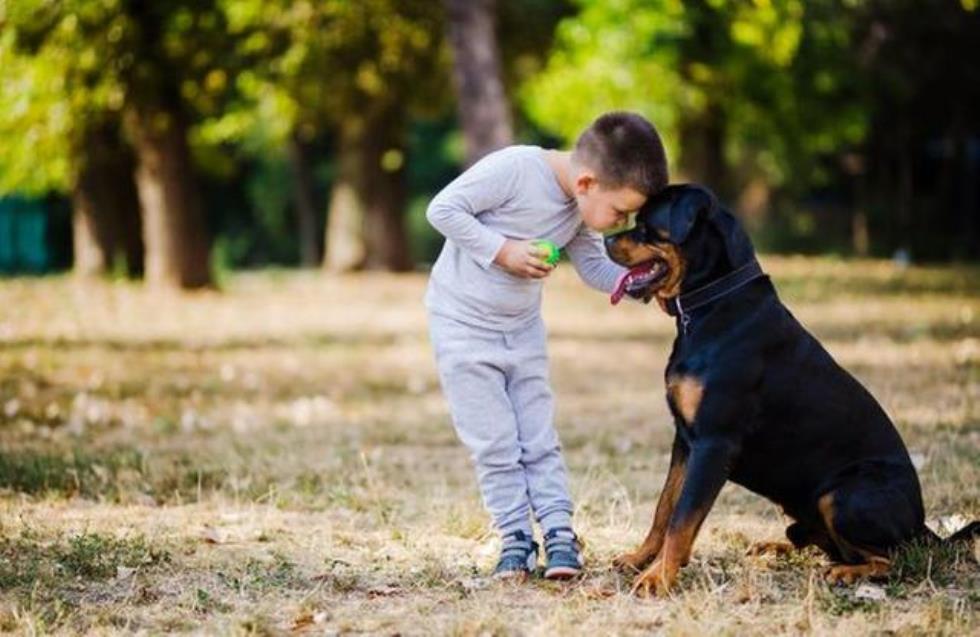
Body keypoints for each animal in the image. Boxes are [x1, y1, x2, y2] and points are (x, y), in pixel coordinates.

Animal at [600, 184, 976, 596]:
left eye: (646, 226)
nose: (606, 240)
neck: (711, 306)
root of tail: (922, 525)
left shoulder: (714, 443)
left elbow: (682, 518)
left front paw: (658, 578)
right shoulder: (685, 440)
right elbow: (664, 507)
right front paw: (639, 559)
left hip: (843, 495)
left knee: (894, 557)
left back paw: (846, 573)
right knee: (817, 540)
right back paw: (773, 547)